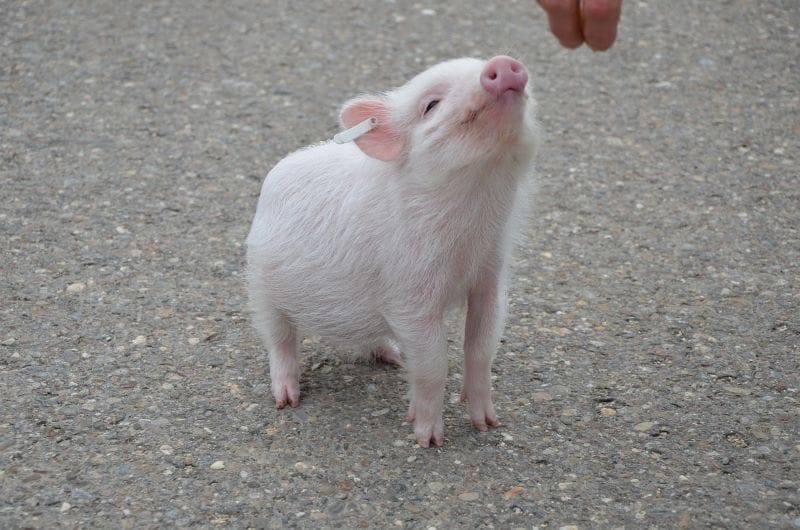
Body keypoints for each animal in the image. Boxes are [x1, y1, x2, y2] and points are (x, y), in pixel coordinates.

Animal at [247, 54, 540, 446]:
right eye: (431, 105)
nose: (503, 63)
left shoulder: (490, 276)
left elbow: (481, 348)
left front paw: (487, 424)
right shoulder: (409, 293)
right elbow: (433, 363)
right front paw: (429, 440)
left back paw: (395, 356)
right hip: (260, 283)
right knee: (279, 339)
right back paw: (287, 399)